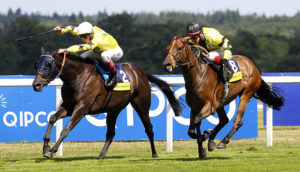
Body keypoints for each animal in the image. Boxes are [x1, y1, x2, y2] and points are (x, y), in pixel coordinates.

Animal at [31, 47, 182, 159]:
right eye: (36, 64)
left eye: (48, 64)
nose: (36, 85)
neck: (78, 76)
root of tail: (141, 73)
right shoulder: (68, 106)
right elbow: (52, 118)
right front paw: (45, 147)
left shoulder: (82, 108)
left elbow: (66, 129)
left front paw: (52, 150)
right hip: (114, 109)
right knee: (111, 133)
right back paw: (101, 155)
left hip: (141, 105)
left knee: (149, 128)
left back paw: (154, 154)